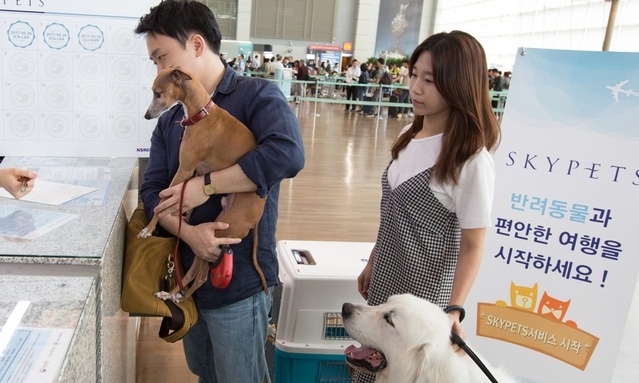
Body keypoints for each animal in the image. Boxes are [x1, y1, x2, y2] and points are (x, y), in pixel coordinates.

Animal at [140, 67, 268, 304]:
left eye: (157, 92)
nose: (146, 115)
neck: (201, 115)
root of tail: (257, 217)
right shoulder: (195, 173)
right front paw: (181, 215)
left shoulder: (185, 169)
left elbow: (161, 200)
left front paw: (149, 229)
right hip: (218, 228)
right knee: (192, 273)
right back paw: (170, 294)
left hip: (216, 237)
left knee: (201, 277)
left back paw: (179, 297)